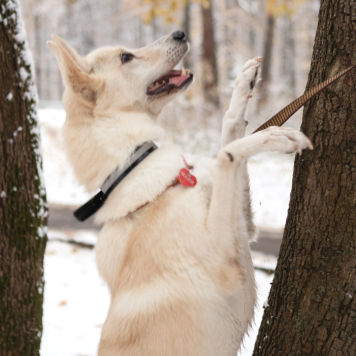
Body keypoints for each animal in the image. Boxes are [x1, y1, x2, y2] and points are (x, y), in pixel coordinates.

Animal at [48, 30, 312, 356]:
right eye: (126, 57)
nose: (180, 33)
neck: (132, 163)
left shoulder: (245, 228)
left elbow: (229, 129)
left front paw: (243, 83)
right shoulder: (225, 262)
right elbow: (226, 154)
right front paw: (276, 136)